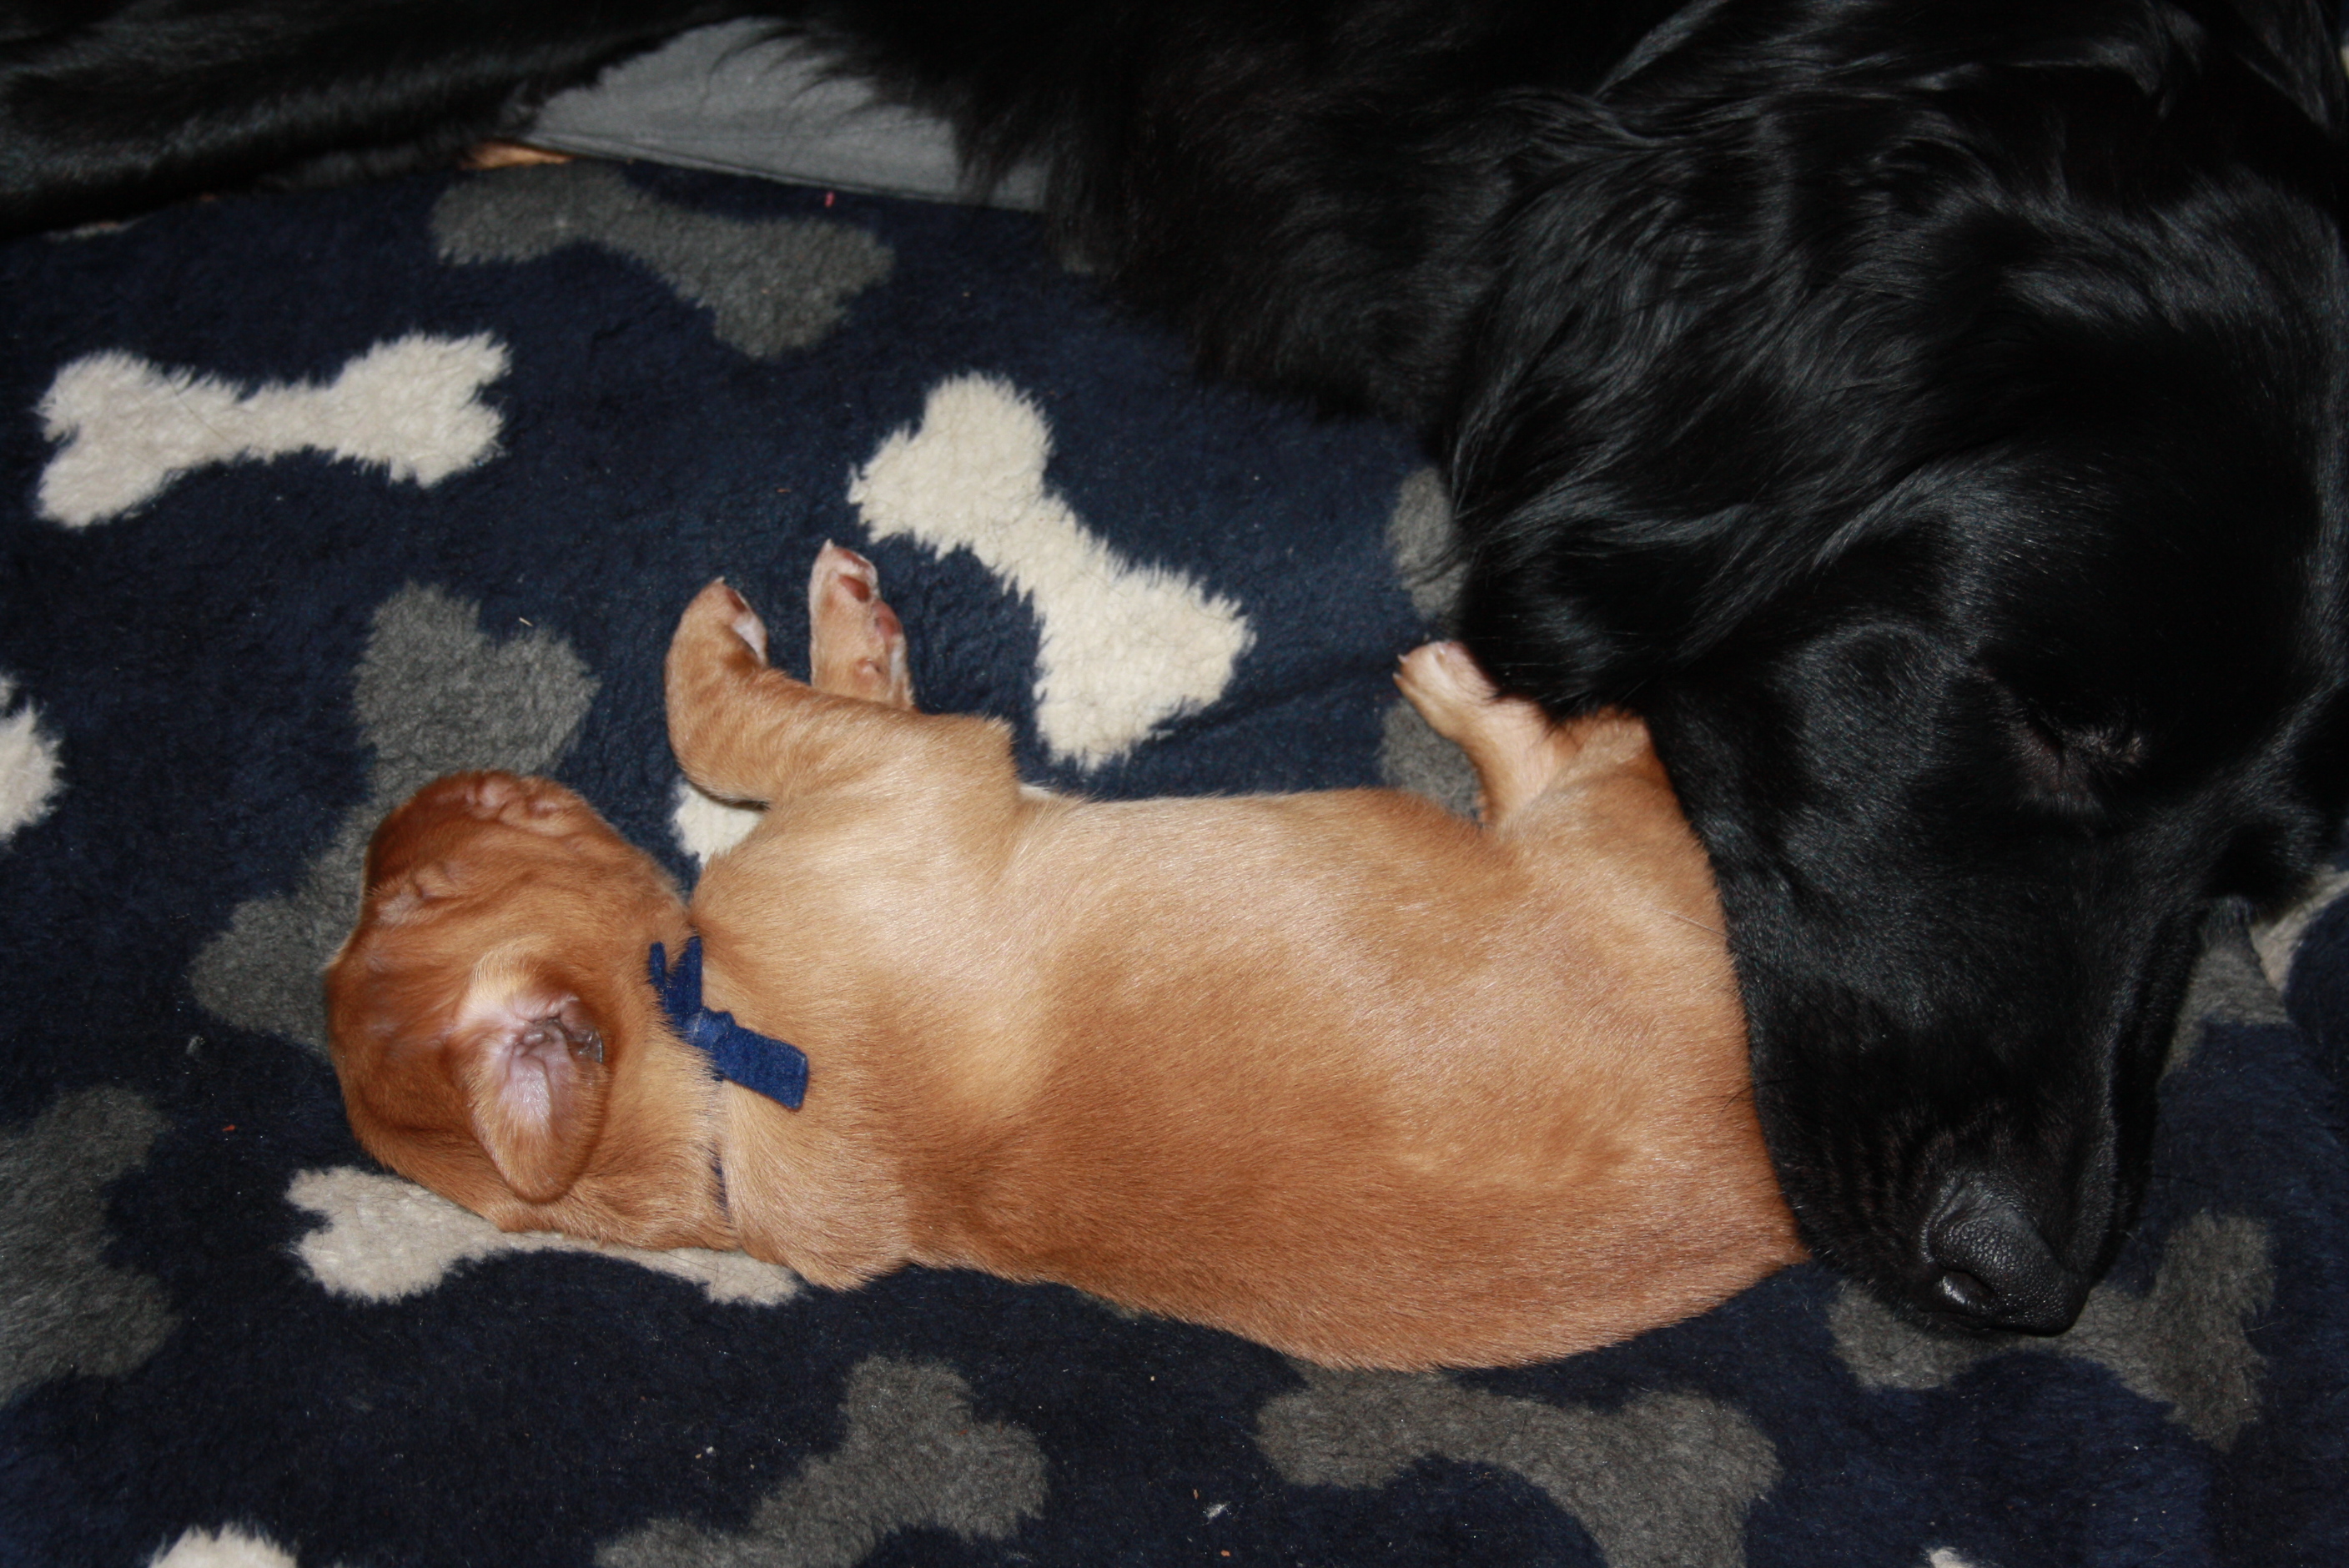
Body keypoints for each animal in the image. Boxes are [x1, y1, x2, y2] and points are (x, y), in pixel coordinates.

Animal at [324, 545, 1802, 1370]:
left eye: (395, 902)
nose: (387, 818)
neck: (708, 1079)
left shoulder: (887, 762)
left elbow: (801, 706)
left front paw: (844, 624)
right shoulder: (903, 775)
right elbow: (720, 719)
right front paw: (729, 626)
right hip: (1604, 830)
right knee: (1589, 747)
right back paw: (1466, 682)